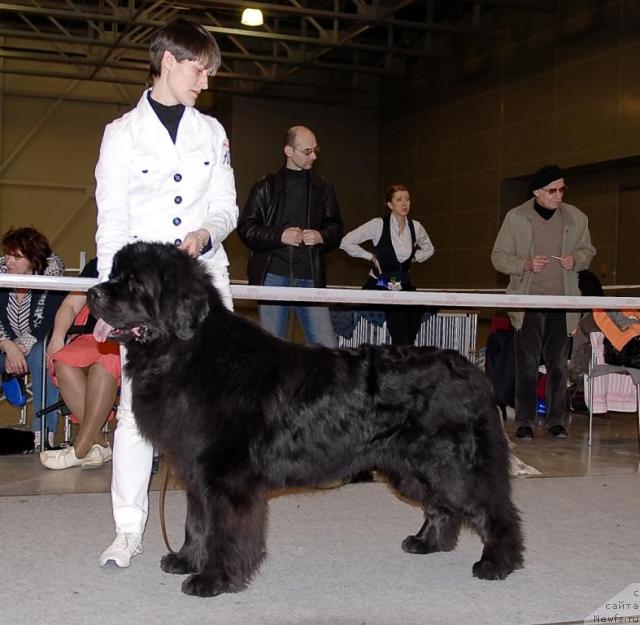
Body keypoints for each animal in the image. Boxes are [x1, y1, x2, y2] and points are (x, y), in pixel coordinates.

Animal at [86, 239, 524, 596]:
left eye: (135, 284)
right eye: (114, 275)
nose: (92, 291)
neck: (185, 351)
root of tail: (470, 369)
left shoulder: (225, 476)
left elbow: (224, 530)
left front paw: (214, 579)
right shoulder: (198, 470)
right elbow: (197, 521)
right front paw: (186, 559)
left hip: (451, 463)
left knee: (492, 507)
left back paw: (498, 563)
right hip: (412, 466)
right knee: (441, 504)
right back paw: (428, 542)